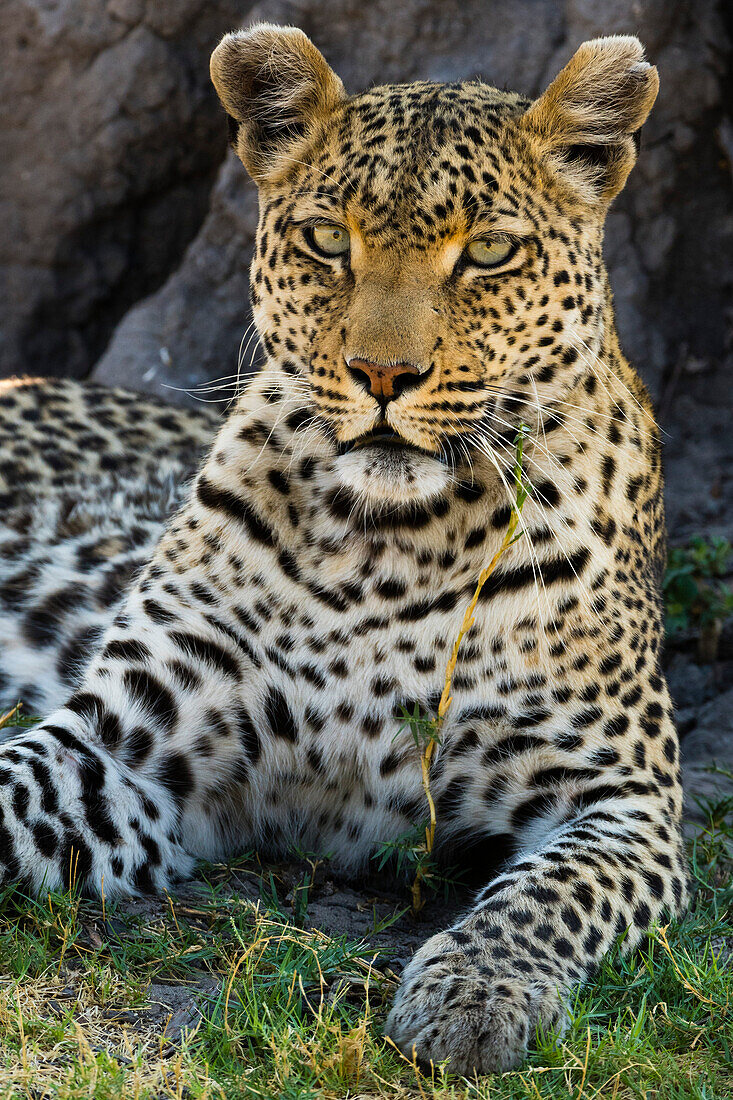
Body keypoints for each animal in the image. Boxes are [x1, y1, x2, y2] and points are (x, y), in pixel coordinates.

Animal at [0, 25, 686, 1073]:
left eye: (488, 252)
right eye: (329, 241)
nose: (381, 375)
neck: (388, 545)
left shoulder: (626, 797)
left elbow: (550, 893)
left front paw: (472, 994)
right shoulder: (128, 742)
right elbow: (8, 786)